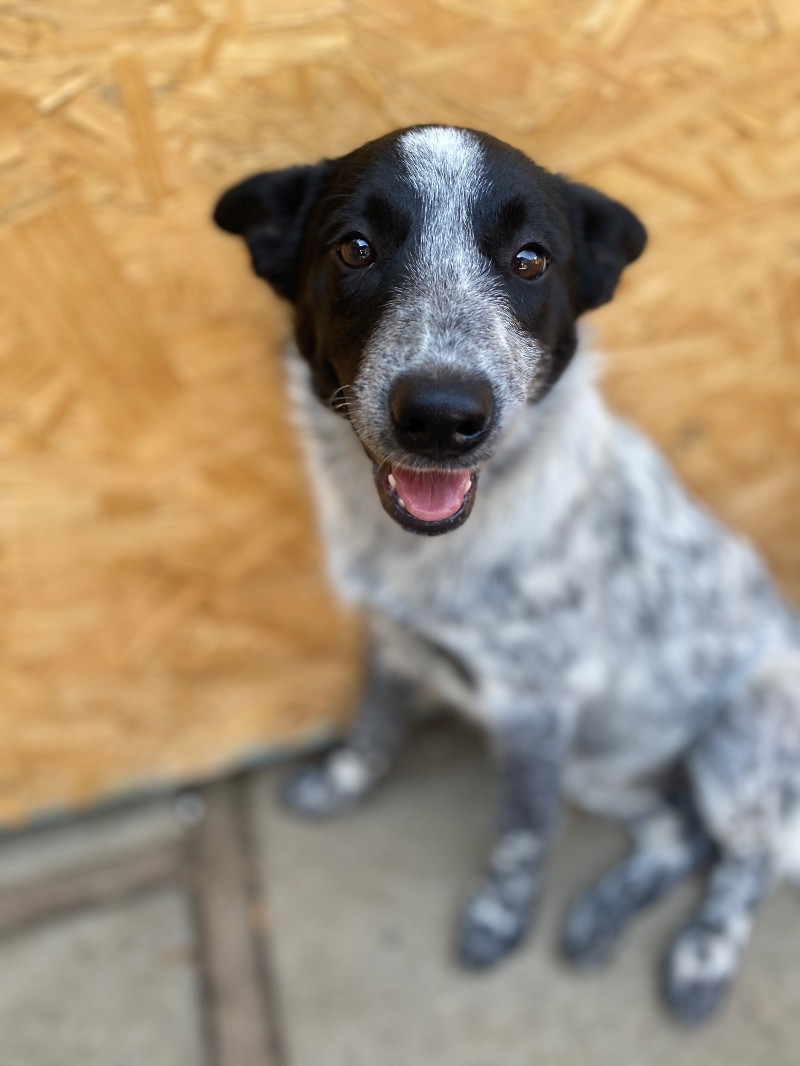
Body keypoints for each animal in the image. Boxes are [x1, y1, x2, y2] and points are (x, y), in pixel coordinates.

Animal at [213, 124, 800, 1023]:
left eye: (531, 260)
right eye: (354, 247)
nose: (441, 416)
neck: (426, 552)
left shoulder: (534, 709)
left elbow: (522, 832)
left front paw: (498, 916)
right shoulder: (394, 640)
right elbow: (373, 723)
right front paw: (341, 783)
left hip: (741, 739)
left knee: (747, 856)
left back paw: (703, 954)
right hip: (602, 763)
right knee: (680, 831)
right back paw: (600, 916)